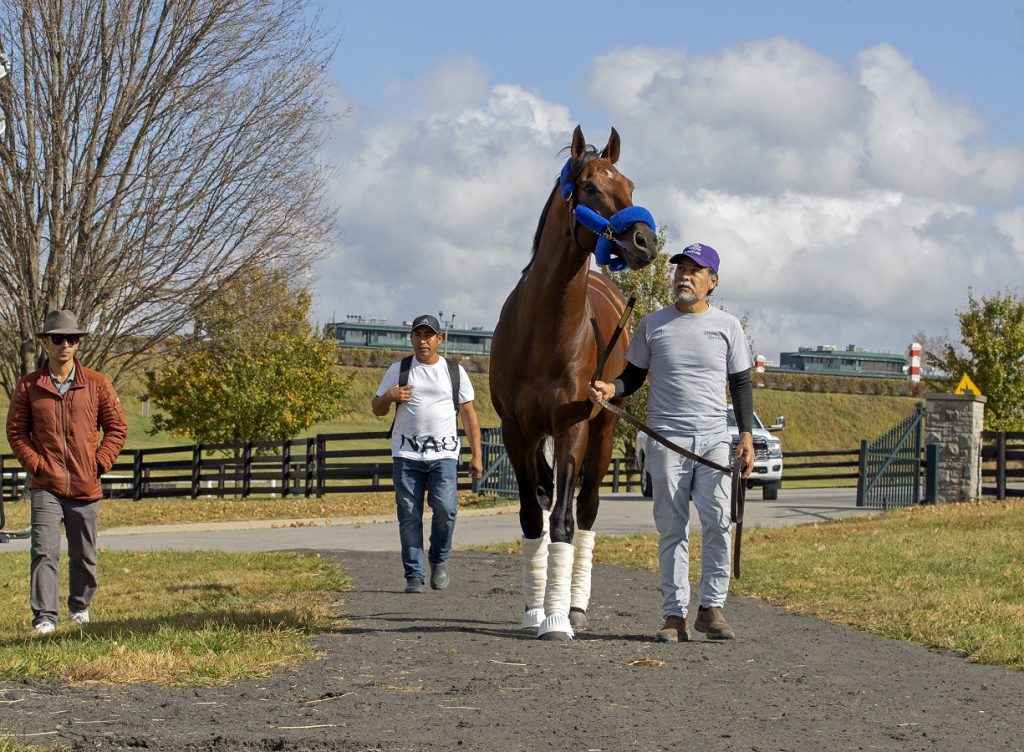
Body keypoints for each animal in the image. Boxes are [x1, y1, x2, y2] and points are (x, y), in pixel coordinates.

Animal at [491, 124, 659, 643]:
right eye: (589, 187)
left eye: (630, 185)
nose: (645, 241)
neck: (542, 333)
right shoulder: (517, 432)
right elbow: (532, 516)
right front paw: (534, 609)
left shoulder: (573, 428)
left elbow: (564, 520)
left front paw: (557, 618)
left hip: (602, 437)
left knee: (585, 509)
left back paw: (575, 602)